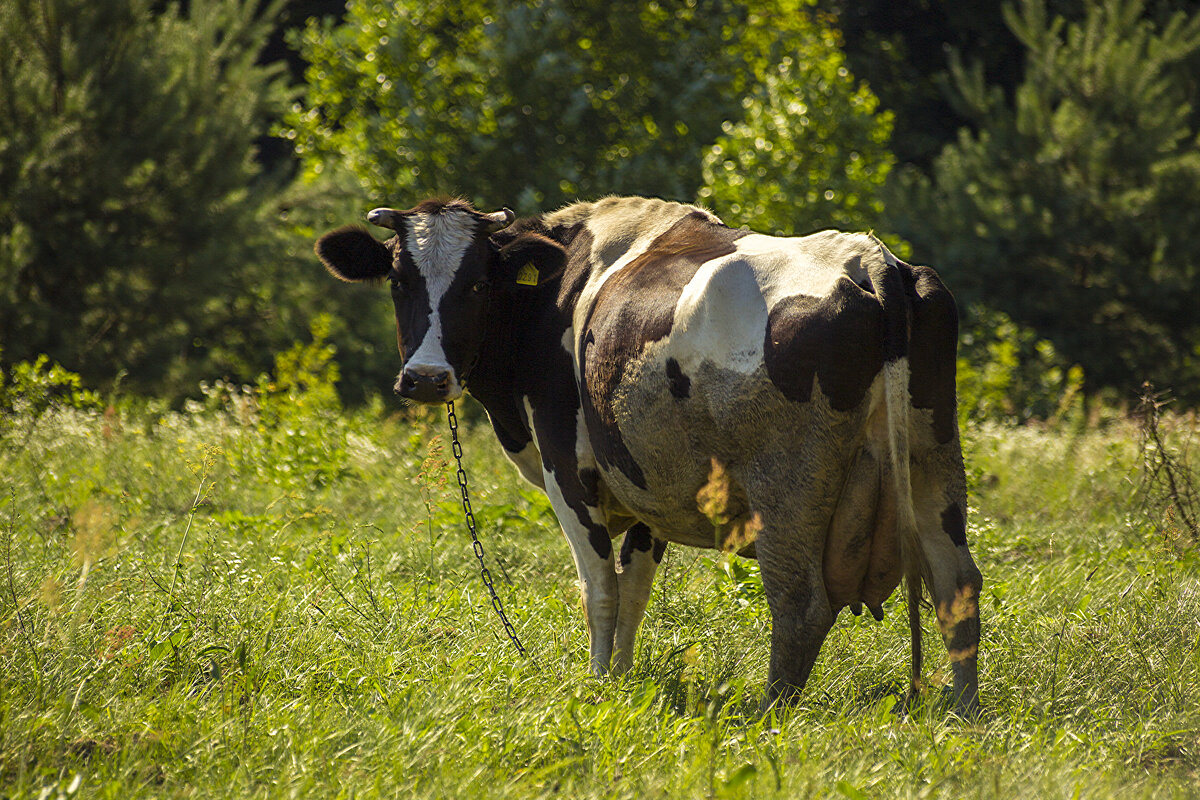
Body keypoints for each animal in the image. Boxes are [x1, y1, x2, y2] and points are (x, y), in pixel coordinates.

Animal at [314, 195, 979, 714]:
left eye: (476, 283)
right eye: (399, 280)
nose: (426, 378)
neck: (556, 295)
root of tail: (868, 259)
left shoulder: (569, 469)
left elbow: (599, 589)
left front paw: (597, 683)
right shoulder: (646, 486)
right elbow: (633, 589)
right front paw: (622, 678)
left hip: (788, 491)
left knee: (800, 602)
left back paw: (771, 712)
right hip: (933, 464)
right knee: (957, 585)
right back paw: (962, 710)